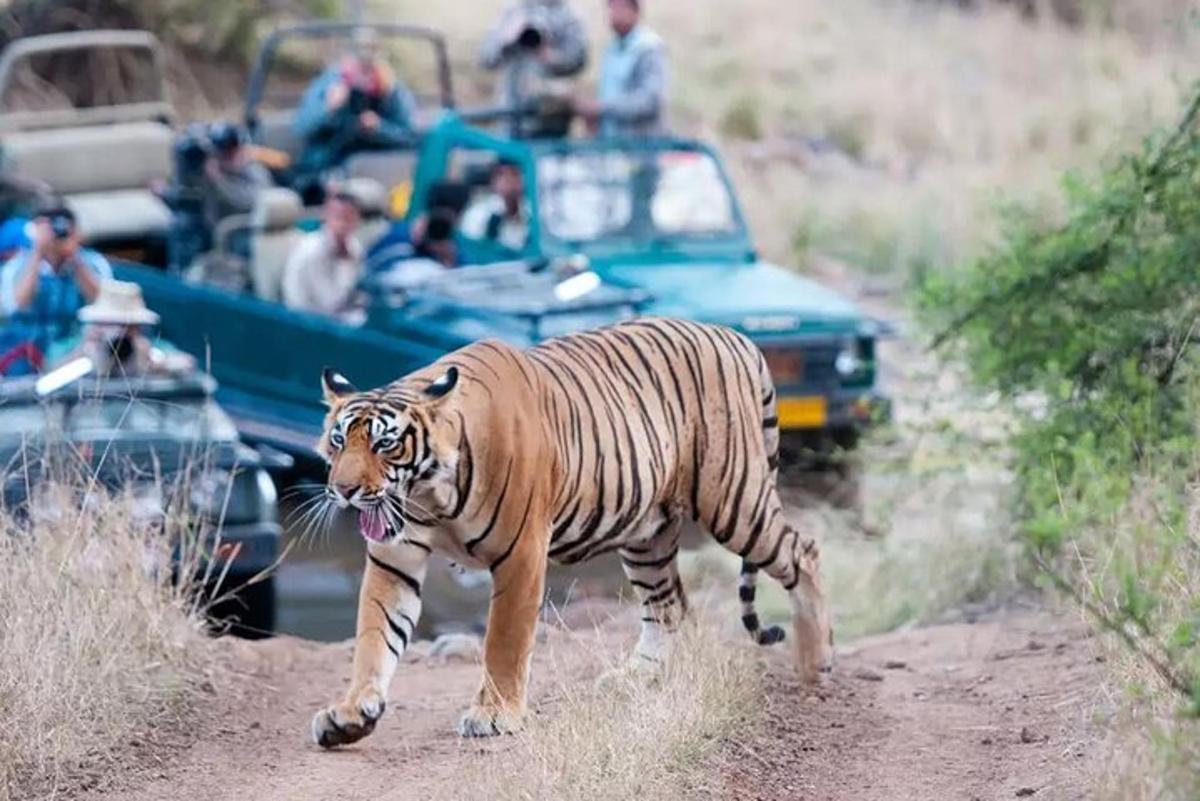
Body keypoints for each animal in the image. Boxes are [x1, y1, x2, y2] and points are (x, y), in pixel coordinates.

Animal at [314, 316, 830, 748]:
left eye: (385, 444)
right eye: (339, 441)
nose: (343, 490)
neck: (430, 493)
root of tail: (735, 335)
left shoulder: (520, 554)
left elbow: (503, 640)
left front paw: (494, 715)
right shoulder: (394, 558)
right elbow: (375, 635)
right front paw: (351, 715)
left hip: (733, 500)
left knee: (803, 552)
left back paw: (814, 665)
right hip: (647, 533)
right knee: (667, 605)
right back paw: (635, 678)